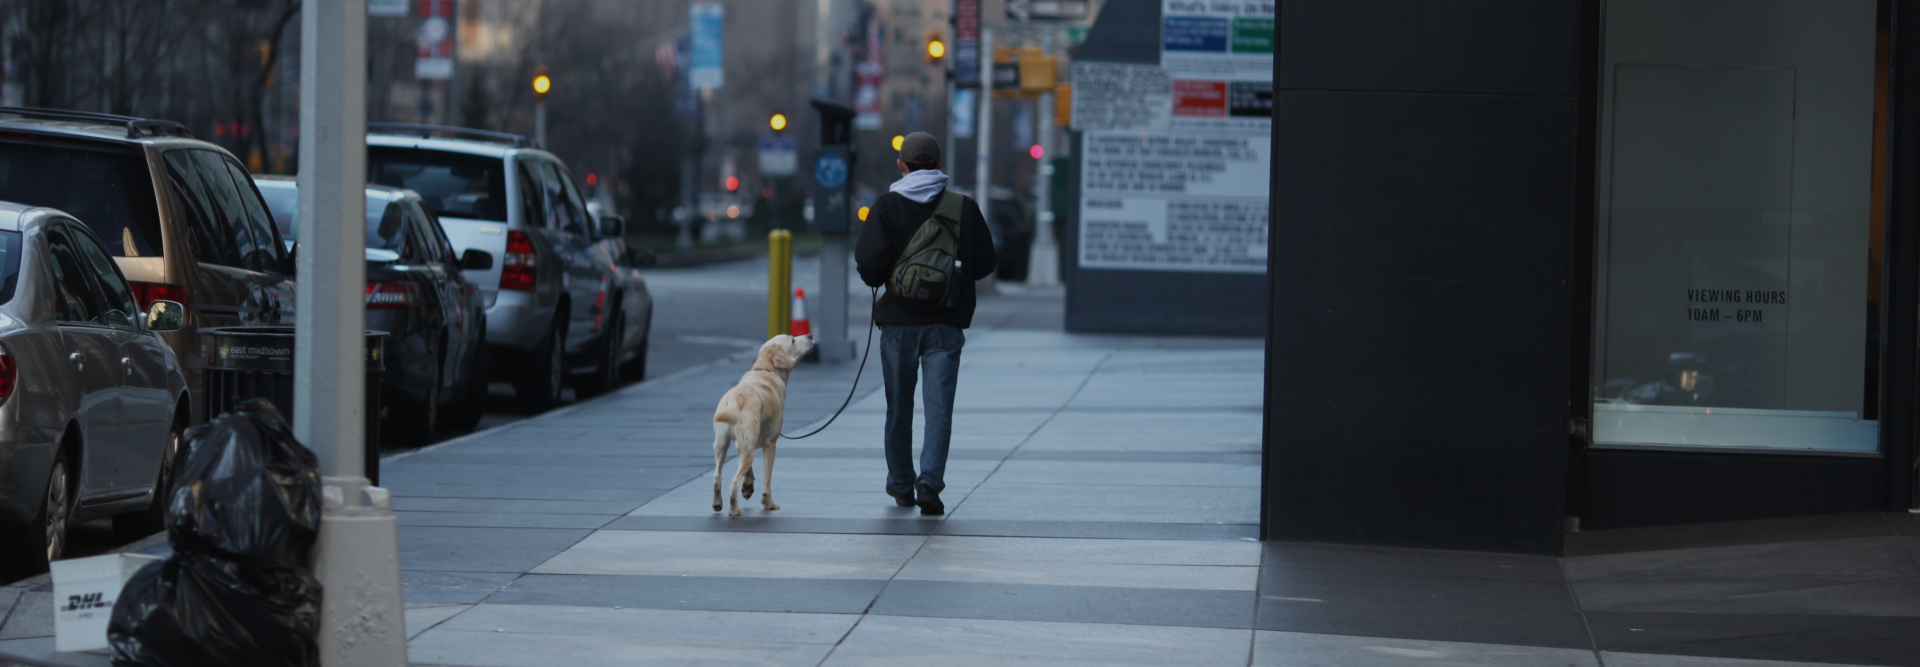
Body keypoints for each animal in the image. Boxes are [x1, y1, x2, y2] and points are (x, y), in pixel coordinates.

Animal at [718, 334, 814, 518]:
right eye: (792, 340)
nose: (811, 335)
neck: (766, 370)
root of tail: (735, 399)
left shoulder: (742, 443)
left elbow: (748, 469)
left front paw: (748, 486)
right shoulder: (770, 444)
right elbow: (767, 481)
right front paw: (768, 503)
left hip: (722, 445)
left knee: (716, 476)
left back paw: (716, 503)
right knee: (733, 482)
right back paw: (734, 510)